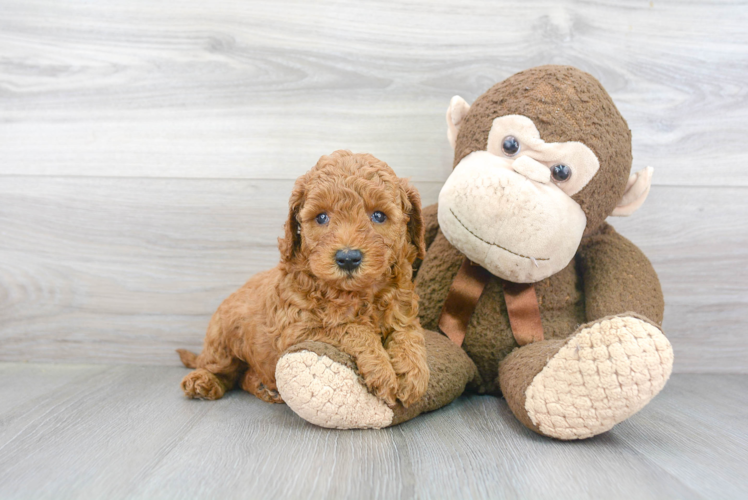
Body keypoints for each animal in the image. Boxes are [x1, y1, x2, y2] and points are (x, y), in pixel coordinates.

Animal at [178, 150, 430, 408]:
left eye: (379, 215)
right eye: (321, 217)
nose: (348, 258)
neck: (356, 293)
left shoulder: (403, 313)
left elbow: (409, 336)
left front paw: (413, 375)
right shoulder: (298, 329)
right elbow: (352, 329)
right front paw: (382, 371)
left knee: (241, 376)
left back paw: (263, 387)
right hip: (222, 340)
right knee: (221, 370)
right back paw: (203, 381)